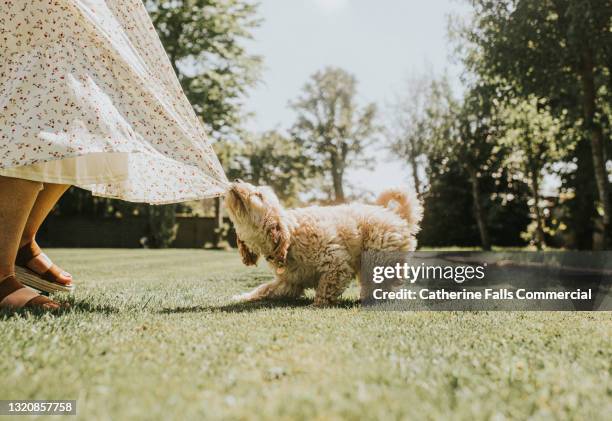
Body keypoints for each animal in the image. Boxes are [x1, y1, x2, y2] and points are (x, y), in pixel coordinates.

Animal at [225, 180, 420, 306]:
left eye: (258, 195)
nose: (235, 180)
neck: (291, 238)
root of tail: (400, 218)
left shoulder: (337, 264)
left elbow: (326, 287)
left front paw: (316, 305)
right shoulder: (288, 283)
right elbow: (263, 289)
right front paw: (242, 297)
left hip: (376, 258)